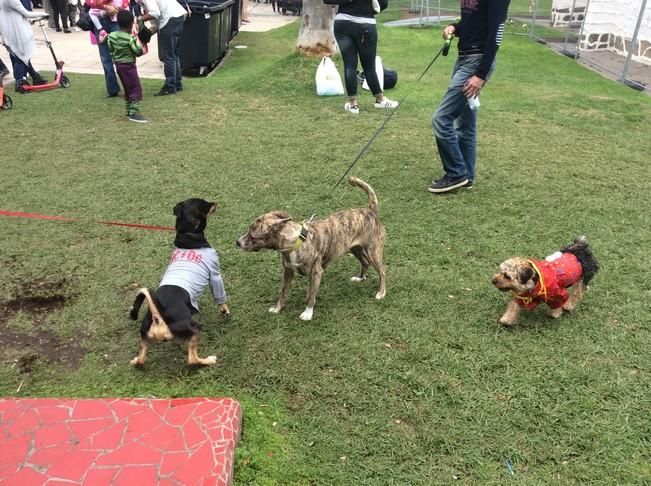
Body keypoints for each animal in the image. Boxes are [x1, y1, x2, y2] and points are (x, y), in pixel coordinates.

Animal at [129, 199, 230, 366]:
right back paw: (208, 360)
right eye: (206, 205)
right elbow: (220, 297)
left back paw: (135, 360)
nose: (216, 202)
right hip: (193, 331)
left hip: (145, 337)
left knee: (141, 360)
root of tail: (158, 317)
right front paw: (225, 310)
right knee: (192, 359)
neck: (187, 234)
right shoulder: (215, 274)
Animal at [236, 177, 384, 320]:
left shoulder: (316, 273)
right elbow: (283, 293)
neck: (294, 242)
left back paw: (381, 292)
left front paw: (308, 313)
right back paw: (360, 278)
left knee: (382, 272)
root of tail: (370, 211)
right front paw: (278, 308)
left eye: (253, 236)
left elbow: (311, 296)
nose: (237, 242)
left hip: (373, 252)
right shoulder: (288, 272)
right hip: (355, 249)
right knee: (365, 262)